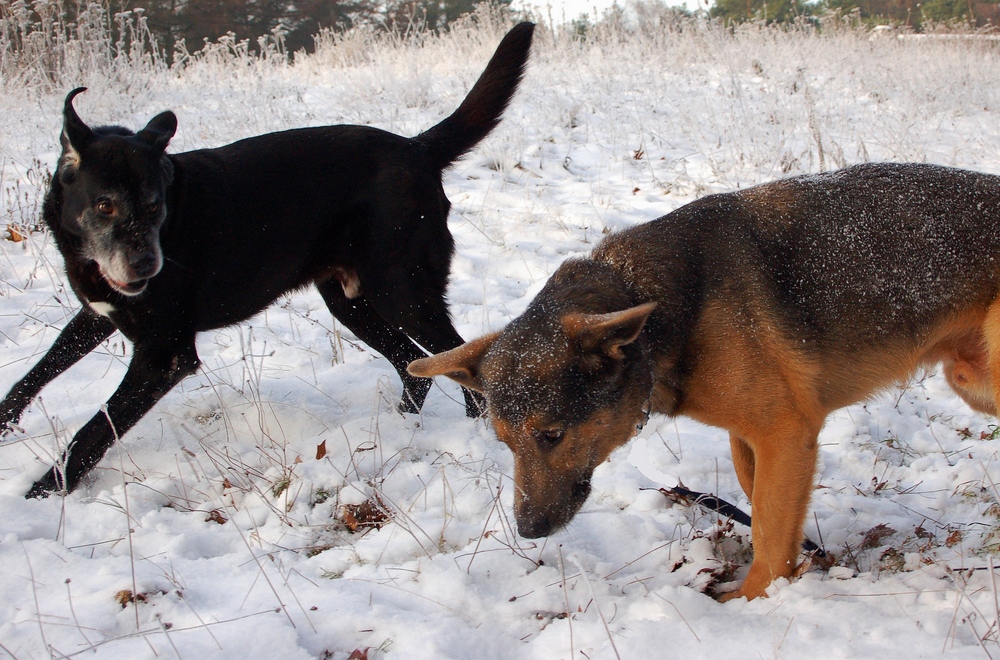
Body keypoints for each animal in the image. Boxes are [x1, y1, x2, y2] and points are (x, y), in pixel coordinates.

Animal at [3, 20, 536, 498]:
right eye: (105, 205)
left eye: (156, 205)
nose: (146, 268)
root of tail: (417, 148)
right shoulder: (97, 315)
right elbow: (34, 376)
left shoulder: (164, 356)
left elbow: (94, 430)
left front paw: (44, 490)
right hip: (352, 302)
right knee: (411, 366)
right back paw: (398, 429)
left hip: (402, 292)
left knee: (455, 359)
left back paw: (471, 435)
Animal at [406, 162, 1000, 600]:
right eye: (505, 443)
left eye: (551, 435)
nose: (528, 530)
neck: (647, 304)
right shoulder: (753, 439)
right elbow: (764, 509)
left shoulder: (786, 433)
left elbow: (768, 530)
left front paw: (753, 602)